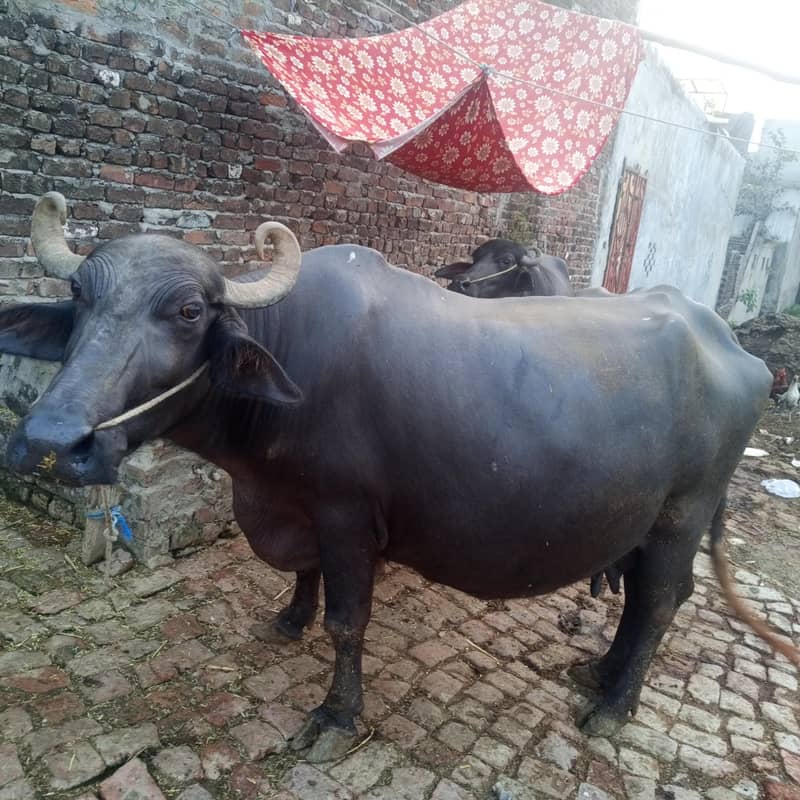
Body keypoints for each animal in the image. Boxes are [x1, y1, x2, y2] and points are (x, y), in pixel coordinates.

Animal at [0, 193, 795, 763]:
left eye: (189, 310)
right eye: (80, 297)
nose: (51, 442)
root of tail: (733, 346)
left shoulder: (348, 516)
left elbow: (348, 621)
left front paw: (335, 717)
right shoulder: (299, 506)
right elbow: (306, 577)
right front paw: (289, 619)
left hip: (681, 516)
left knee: (660, 601)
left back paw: (612, 707)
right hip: (639, 521)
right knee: (637, 599)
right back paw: (600, 672)